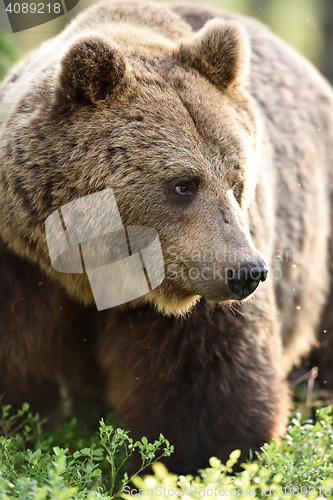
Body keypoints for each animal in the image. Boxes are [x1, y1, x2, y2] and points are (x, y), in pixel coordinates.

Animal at [0, 0, 330, 472]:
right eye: (183, 184)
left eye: (237, 181)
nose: (248, 272)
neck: (89, 273)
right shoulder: (20, 263)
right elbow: (19, 376)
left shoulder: (193, 292)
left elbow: (205, 390)